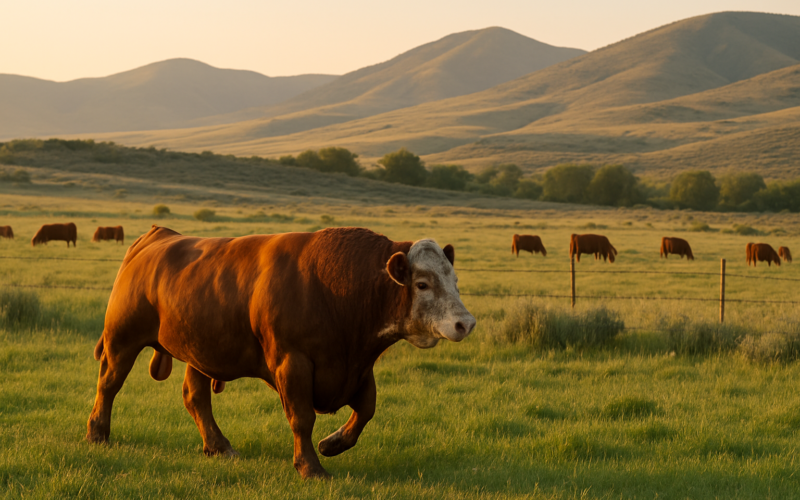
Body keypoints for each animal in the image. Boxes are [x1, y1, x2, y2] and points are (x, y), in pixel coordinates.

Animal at [86, 226, 476, 479]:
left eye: (455, 282)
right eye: (422, 284)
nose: (466, 323)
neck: (338, 287)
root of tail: (157, 235)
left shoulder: (359, 367)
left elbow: (366, 410)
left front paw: (333, 443)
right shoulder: (293, 363)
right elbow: (302, 418)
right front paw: (311, 467)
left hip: (200, 350)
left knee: (195, 398)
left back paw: (219, 446)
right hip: (121, 340)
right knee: (108, 385)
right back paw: (97, 434)